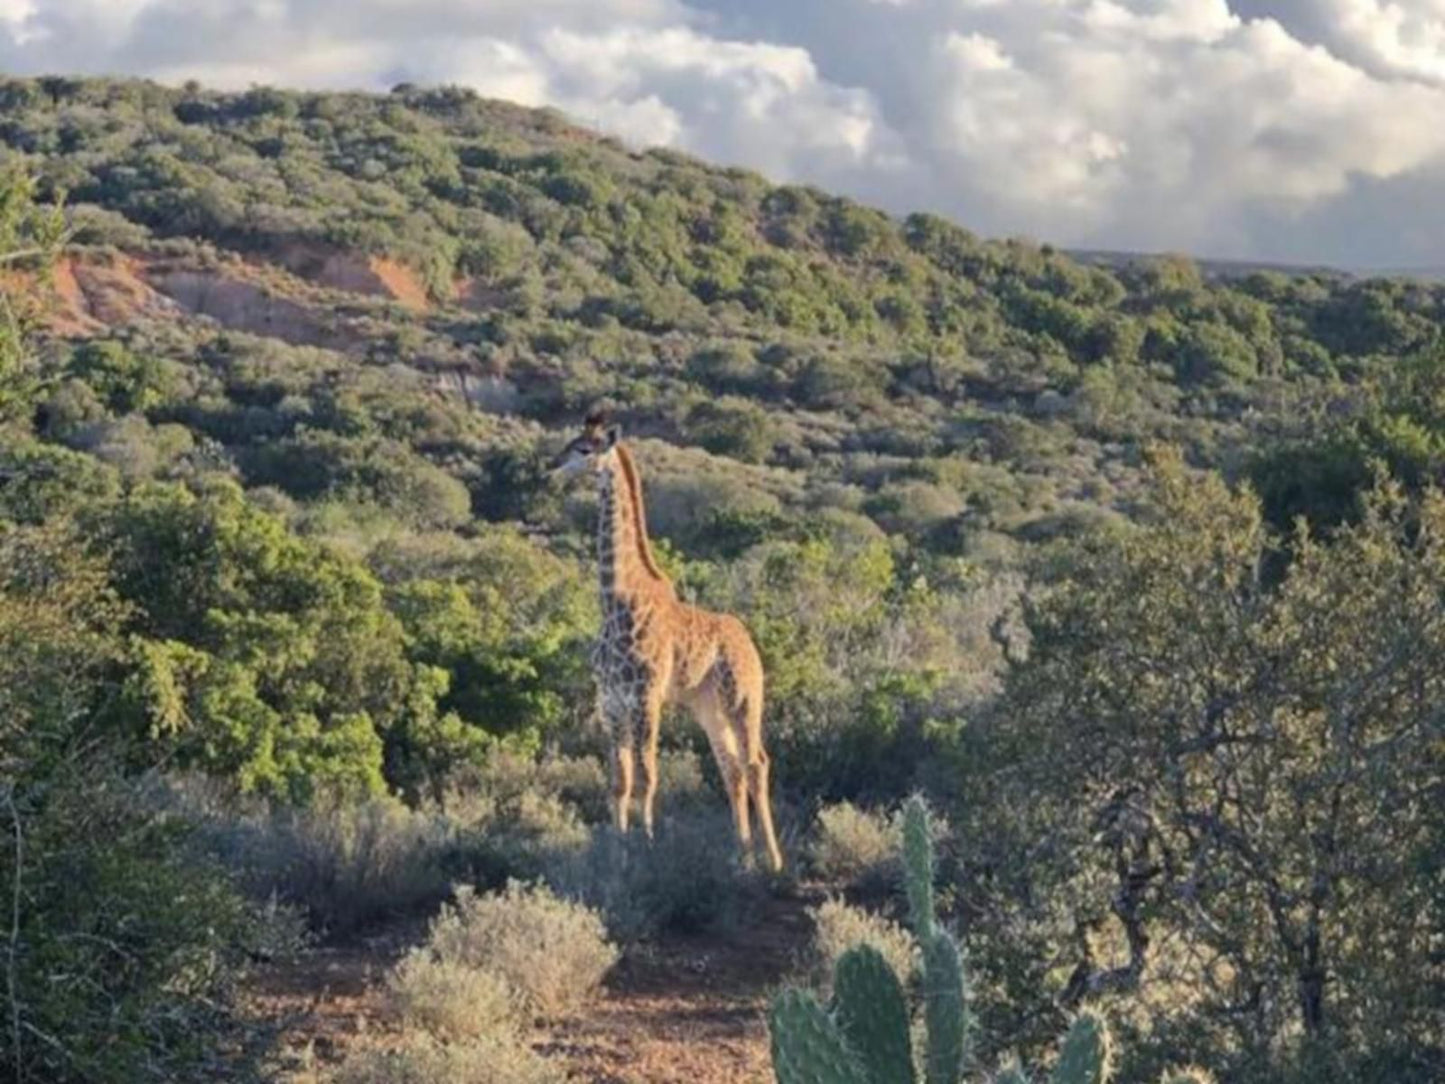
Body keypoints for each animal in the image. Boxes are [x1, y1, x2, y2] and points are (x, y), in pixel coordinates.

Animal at [551, 413, 786, 872]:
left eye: (584, 449)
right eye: (570, 442)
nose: (551, 468)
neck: (617, 600)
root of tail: (751, 644)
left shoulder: (646, 698)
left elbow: (647, 776)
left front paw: (647, 846)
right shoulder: (611, 701)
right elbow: (620, 781)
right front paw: (617, 852)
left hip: (742, 697)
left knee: (756, 762)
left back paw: (773, 860)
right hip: (707, 706)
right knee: (731, 769)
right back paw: (741, 853)